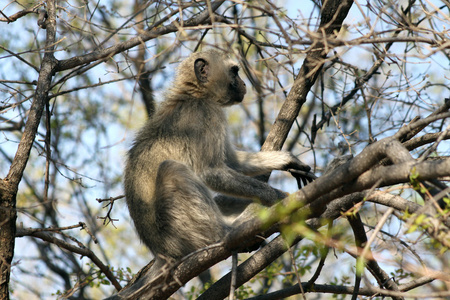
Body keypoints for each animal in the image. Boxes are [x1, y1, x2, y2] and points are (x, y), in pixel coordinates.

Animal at [125, 49, 312, 264]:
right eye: (235, 72)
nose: (244, 84)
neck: (195, 94)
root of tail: (163, 252)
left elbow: (232, 161)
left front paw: (285, 160)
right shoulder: (207, 114)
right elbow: (210, 172)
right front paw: (279, 197)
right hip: (182, 232)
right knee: (172, 169)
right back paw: (226, 233)